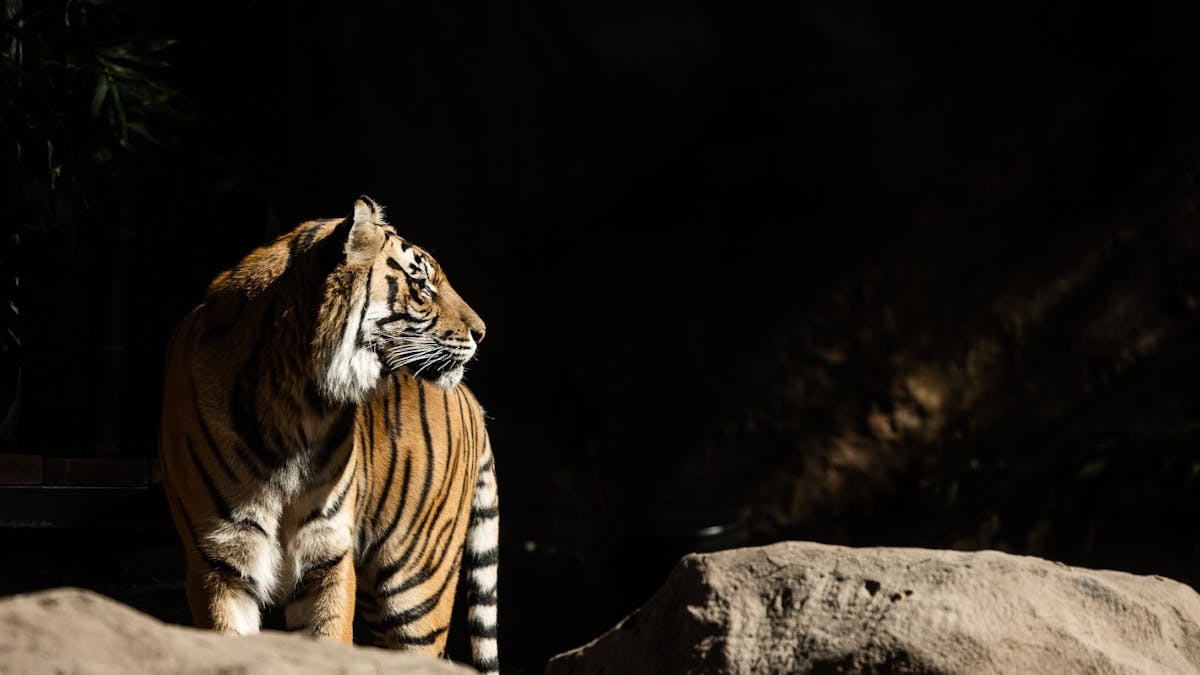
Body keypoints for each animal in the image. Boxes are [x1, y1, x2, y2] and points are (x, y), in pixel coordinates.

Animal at [158, 196, 499, 674]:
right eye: (421, 285)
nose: (482, 333)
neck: (297, 403)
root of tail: (471, 398)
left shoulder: (327, 558)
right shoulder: (219, 562)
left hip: (417, 585)